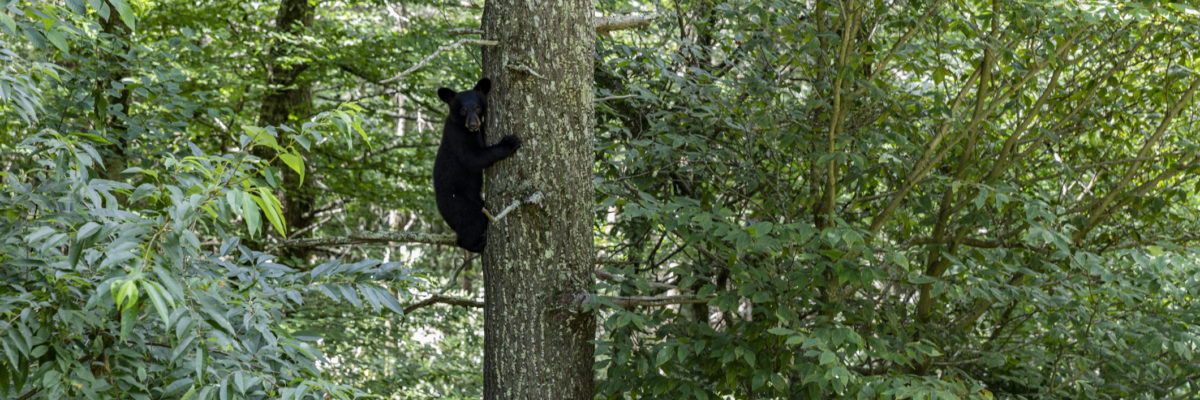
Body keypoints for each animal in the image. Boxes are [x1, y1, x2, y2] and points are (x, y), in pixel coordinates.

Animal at [433, 78, 522, 253]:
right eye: (462, 110)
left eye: (478, 107)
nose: (473, 124)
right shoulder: (458, 136)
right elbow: (473, 158)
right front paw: (509, 143)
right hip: (460, 205)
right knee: (473, 224)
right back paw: (477, 244)